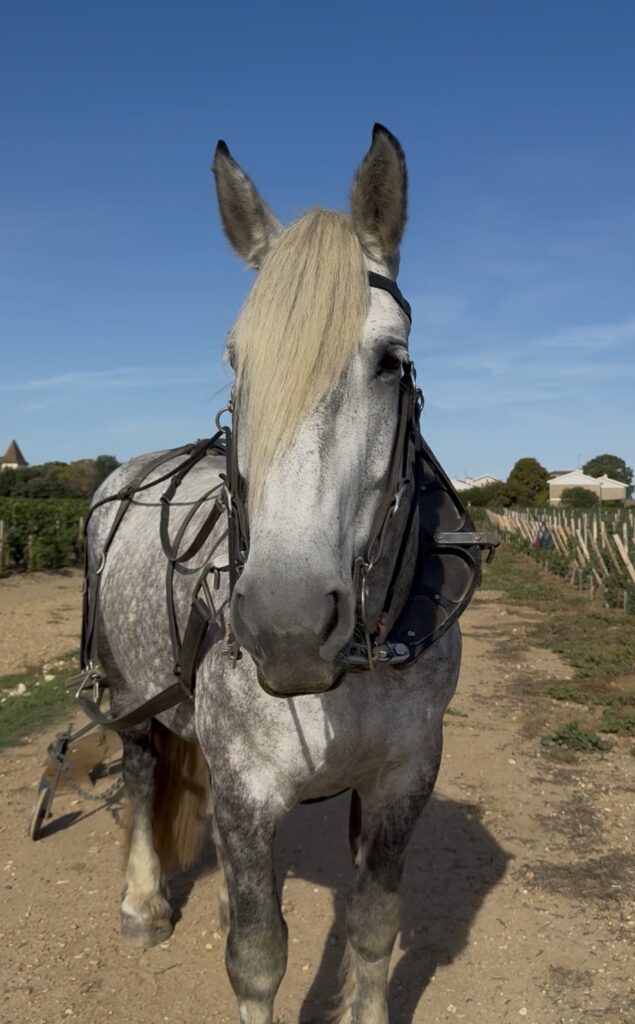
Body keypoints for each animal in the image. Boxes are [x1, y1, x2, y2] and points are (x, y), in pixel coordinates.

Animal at [87, 124, 465, 1024]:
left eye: (390, 361)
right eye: (237, 362)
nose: (286, 625)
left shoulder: (403, 778)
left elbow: (372, 930)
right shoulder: (247, 788)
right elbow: (258, 961)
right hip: (126, 690)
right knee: (141, 772)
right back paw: (141, 903)